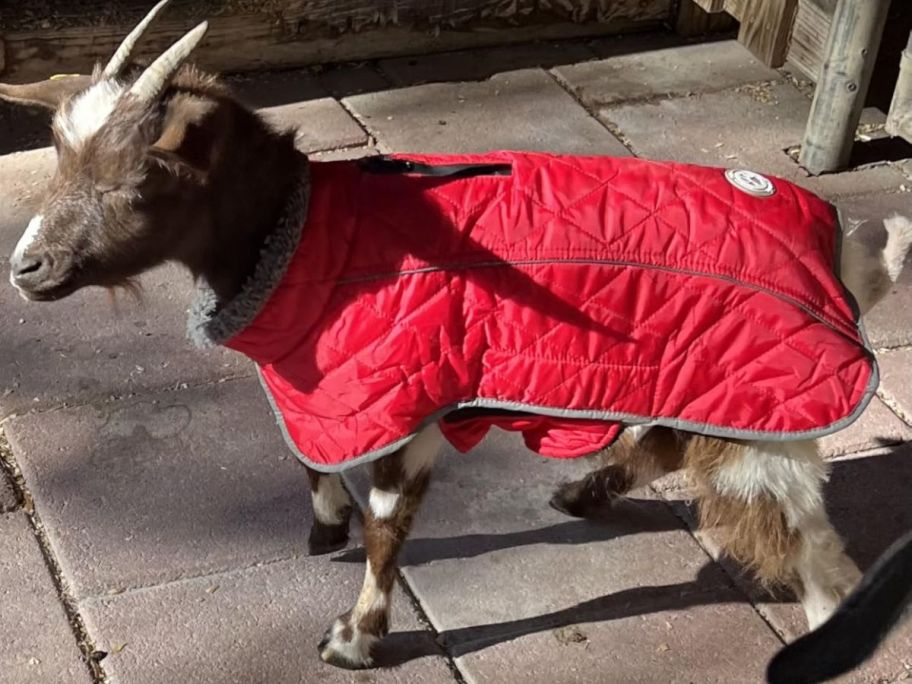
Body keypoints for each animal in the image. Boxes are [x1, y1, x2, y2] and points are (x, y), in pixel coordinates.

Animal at [3, 1, 911, 670]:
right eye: (60, 160)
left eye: (135, 179)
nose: (26, 266)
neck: (304, 234)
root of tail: (839, 256)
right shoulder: (335, 392)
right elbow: (310, 459)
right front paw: (323, 530)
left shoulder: (409, 397)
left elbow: (388, 523)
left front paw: (353, 639)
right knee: (667, 444)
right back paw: (585, 493)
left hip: (764, 417)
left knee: (816, 554)